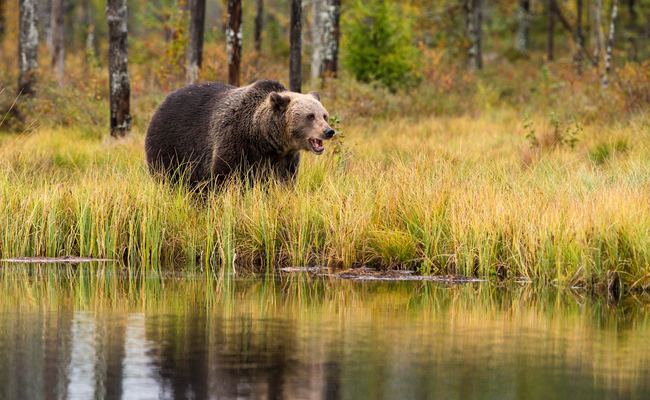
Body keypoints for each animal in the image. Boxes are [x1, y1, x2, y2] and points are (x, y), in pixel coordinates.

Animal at [146, 81, 334, 189]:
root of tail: (164, 101)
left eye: (324, 115)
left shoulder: (284, 159)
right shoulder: (235, 141)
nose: (329, 131)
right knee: (168, 176)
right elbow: (224, 176)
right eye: (310, 116)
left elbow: (284, 182)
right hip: (171, 145)